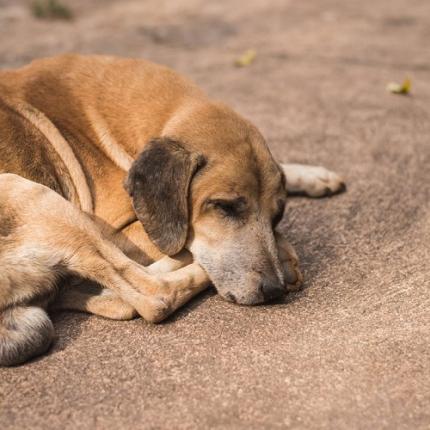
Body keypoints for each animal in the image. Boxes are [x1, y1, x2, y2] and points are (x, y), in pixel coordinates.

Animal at [0, 54, 342, 366]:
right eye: (225, 207)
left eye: (277, 215)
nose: (274, 289)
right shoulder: (115, 230)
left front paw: (311, 175)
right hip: (29, 193)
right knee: (153, 296)